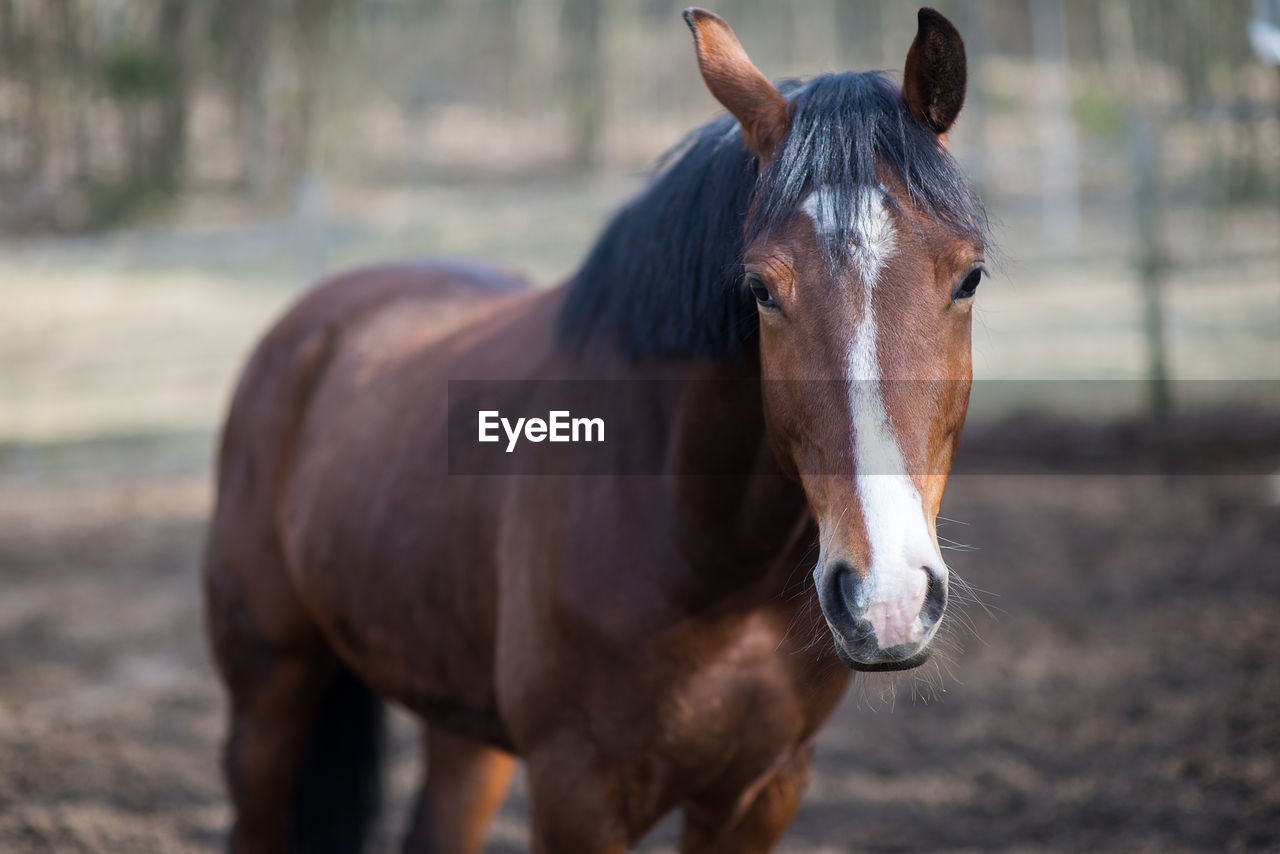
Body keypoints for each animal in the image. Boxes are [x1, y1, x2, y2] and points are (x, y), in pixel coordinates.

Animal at [207, 8, 988, 854]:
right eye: (760, 289)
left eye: (970, 277)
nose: (888, 599)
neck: (713, 568)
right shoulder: (576, 789)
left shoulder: (764, 789)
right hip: (268, 695)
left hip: (461, 727)